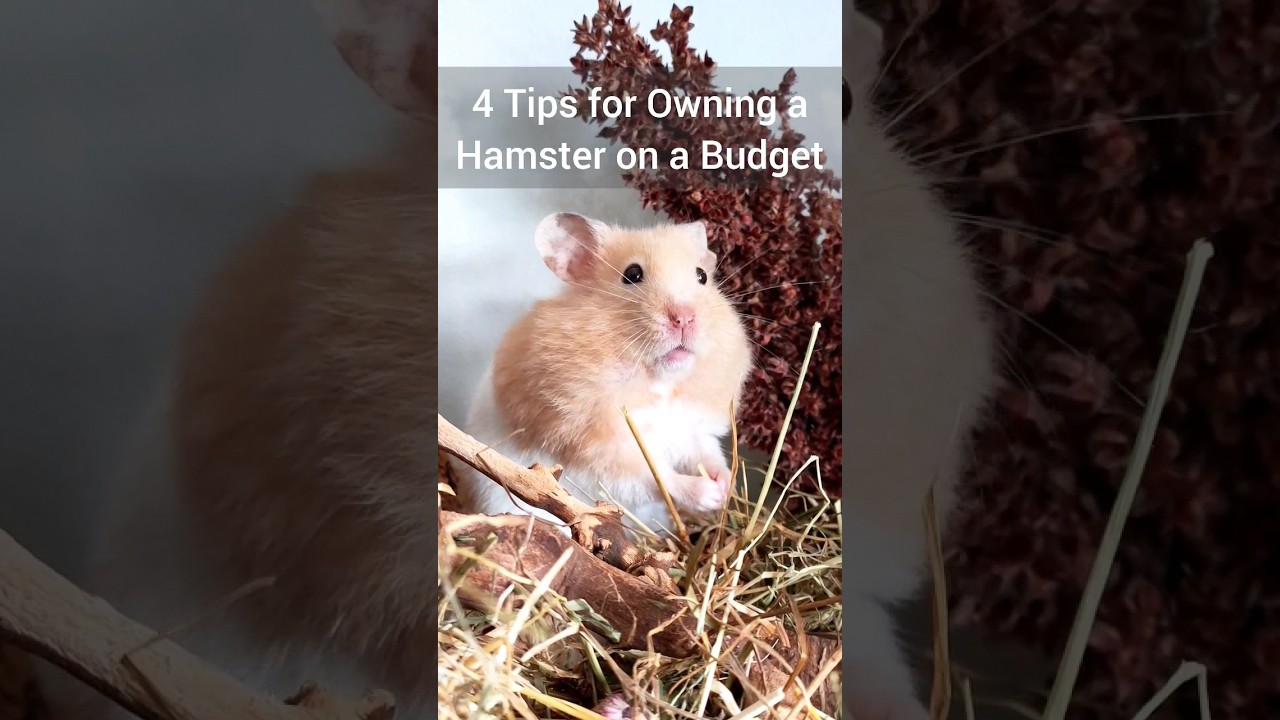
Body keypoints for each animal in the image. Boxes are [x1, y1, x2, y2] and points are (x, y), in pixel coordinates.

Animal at [453, 213, 754, 534]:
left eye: (702, 276)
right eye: (632, 274)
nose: (685, 318)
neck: (659, 379)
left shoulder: (690, 429)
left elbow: (709, 454)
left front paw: (724, 487)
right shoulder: (601, 450)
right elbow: (658, 478)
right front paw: (708, 494)